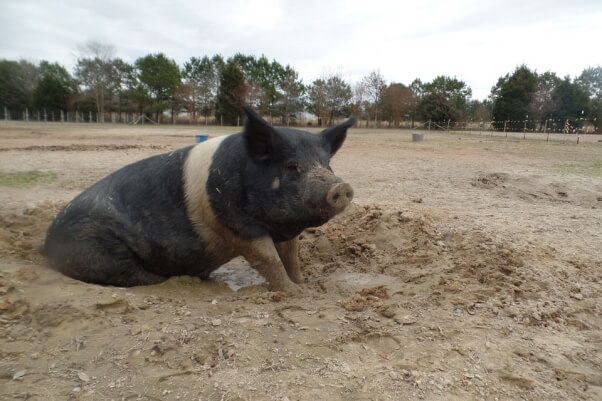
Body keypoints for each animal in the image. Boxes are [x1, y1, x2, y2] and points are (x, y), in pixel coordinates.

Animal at [43, 108, 356, 292]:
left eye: (327, 163)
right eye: (291, 166)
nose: (342, 187)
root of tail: (45, 244)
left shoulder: (284, 229)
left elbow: (291, 256)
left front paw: (304, 285)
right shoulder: (232, 221)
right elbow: (267, 258)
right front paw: (294, 293)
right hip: (96, 244)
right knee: (132, 275)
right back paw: (179, 282)